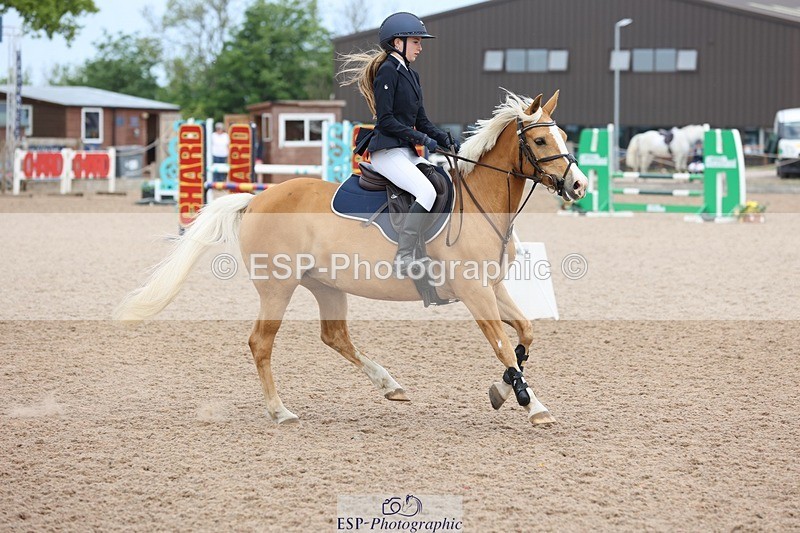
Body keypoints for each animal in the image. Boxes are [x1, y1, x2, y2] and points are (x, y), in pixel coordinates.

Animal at [114, 90, 588, 426]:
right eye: (541, 139)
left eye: (566, 137)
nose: (579, 186)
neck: (479, 203)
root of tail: (257, 198)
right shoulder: (475, 292)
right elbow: (504, 346)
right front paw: (533, 406)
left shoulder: (492, 287)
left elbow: (525, 334)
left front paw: (504, 391)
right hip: (277, 287)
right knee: (261, 343)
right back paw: (280, 411)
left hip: (326, 285)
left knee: (335, 336)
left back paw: (390, 386)